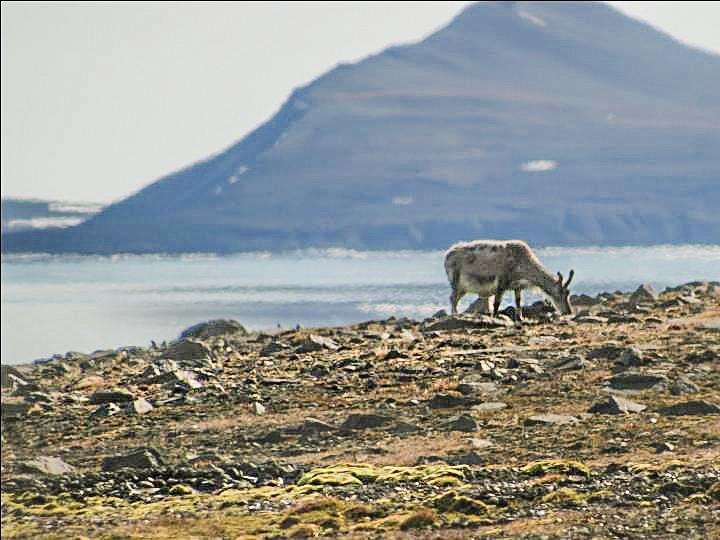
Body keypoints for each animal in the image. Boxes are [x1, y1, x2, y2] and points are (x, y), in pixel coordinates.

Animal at [444, 239, 574, 320]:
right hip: (455, 281)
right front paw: (495, 317)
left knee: (455, 298)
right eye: (559, 293)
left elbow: (518, 302)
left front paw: (521, 318)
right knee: (452, 298)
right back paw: (455, 314)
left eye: (568, 293)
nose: (568, 312)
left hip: (463, 288)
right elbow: (497, 303)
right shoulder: (501, 283)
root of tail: (447, 256)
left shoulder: (517, 286)